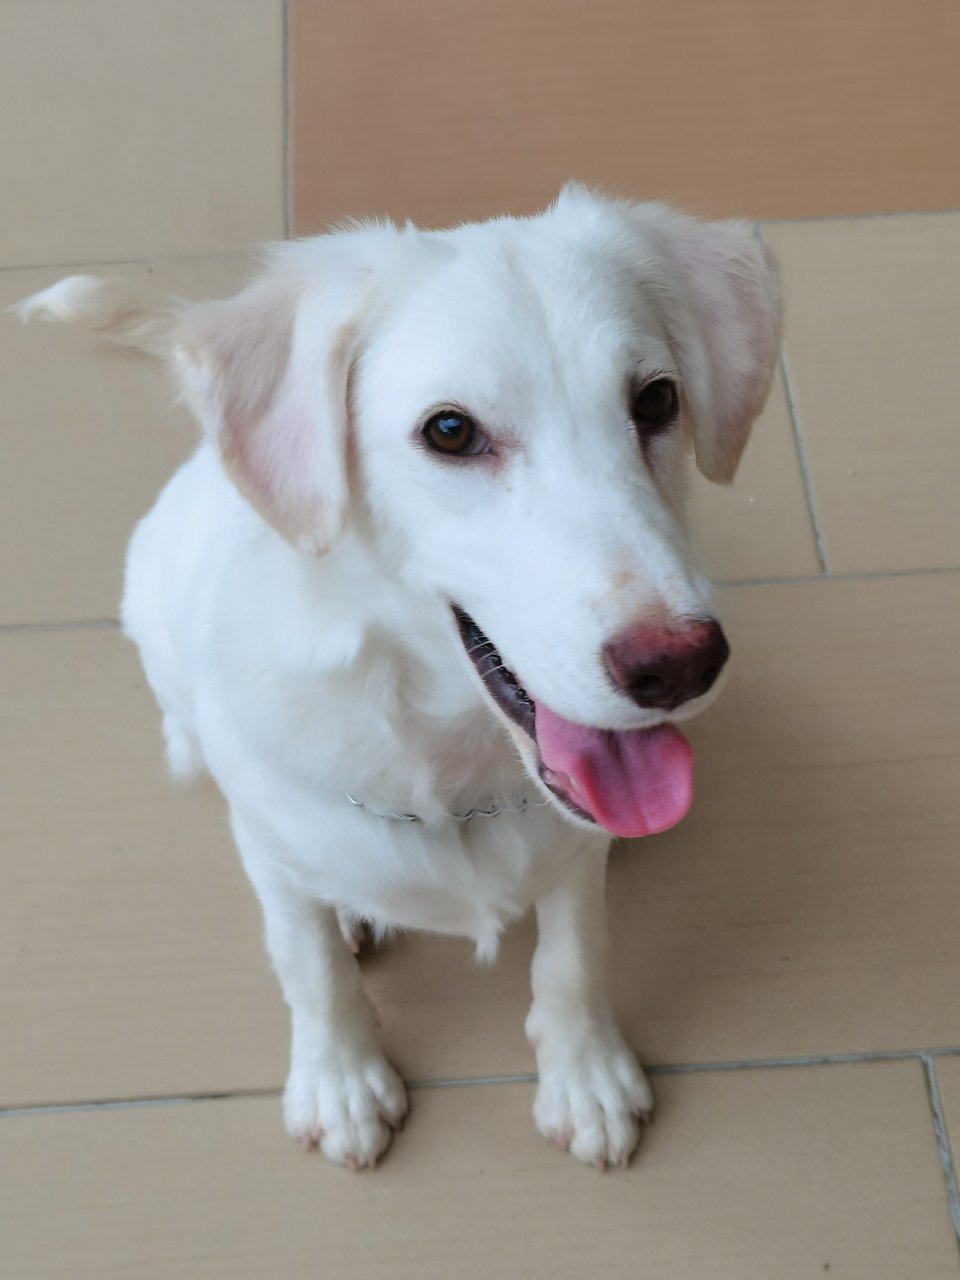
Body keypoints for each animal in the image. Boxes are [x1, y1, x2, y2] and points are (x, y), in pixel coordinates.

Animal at [18, 185, 783, 1172]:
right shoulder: (270, 853)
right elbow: (310, 970)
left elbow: (573, 958)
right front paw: (340, 1080)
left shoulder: (575, 859)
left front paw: (586, 1074)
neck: (449, 760)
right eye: (450, 431)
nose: (681, 664)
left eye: (656, 400)